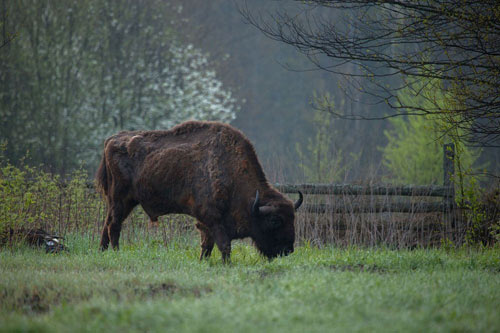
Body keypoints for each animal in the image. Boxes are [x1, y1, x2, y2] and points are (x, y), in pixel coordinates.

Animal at [96, 119, 302, 262]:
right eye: (275, 220)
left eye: (293, 218)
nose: (287, 250)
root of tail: (111, 140)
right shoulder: (212, 218)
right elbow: (223, 245)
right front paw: (226, 264)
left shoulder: (206, 222)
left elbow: (207, 245)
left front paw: (204, 261)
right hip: (120, 199)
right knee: (114, 226)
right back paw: (116, 252)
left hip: (122, 202)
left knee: (107, 223)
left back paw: (102, 251)